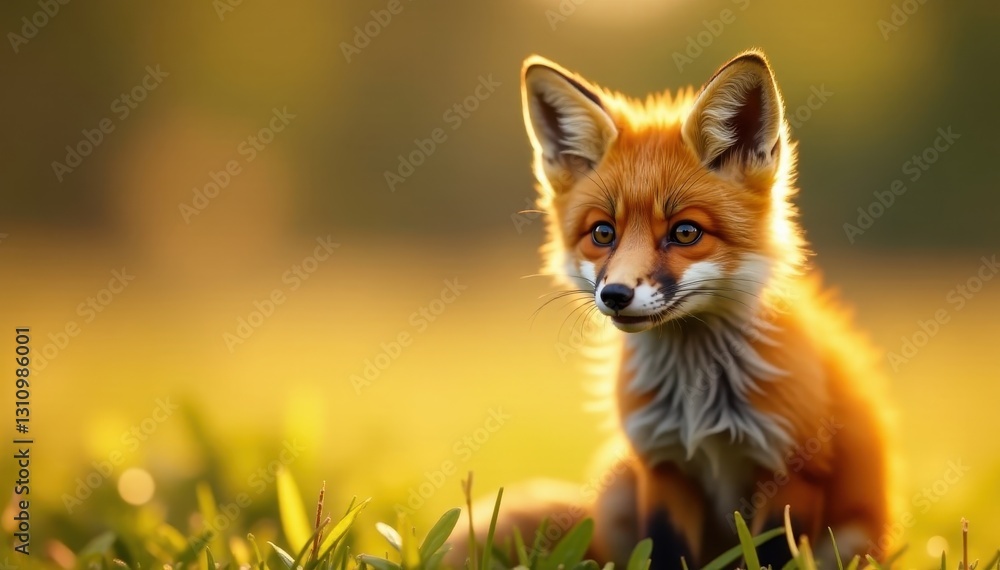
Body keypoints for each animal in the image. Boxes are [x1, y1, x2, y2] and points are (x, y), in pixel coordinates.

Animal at [447, 50, 893, 569]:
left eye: (685, 232)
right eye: (603, 233)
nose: (615, 295)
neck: (699, 407)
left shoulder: (793, 472)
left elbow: (770, 555)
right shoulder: (661, 467)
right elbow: (662, 550)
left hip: (853, 541)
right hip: (618, 487)